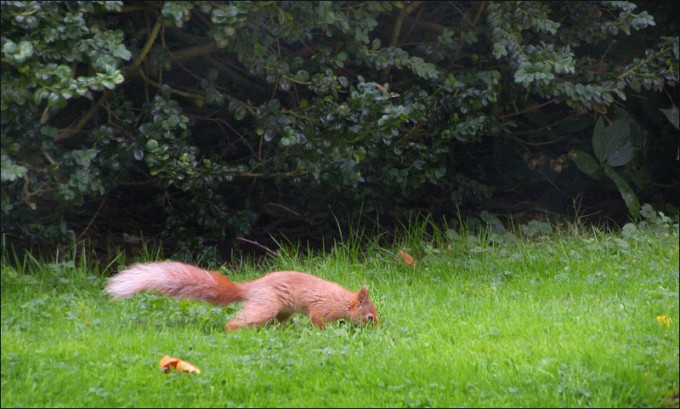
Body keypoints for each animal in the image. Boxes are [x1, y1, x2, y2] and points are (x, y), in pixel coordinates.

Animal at [106, 261, 379, 330]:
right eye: (370, 318)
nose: (376, 329)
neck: (345, 302)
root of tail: (251, 288)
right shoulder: (322, 309)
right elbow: (318, 320)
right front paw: (322, 333)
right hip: (265, 306)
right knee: (239, 322)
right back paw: (232, 330)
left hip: (281, 310)